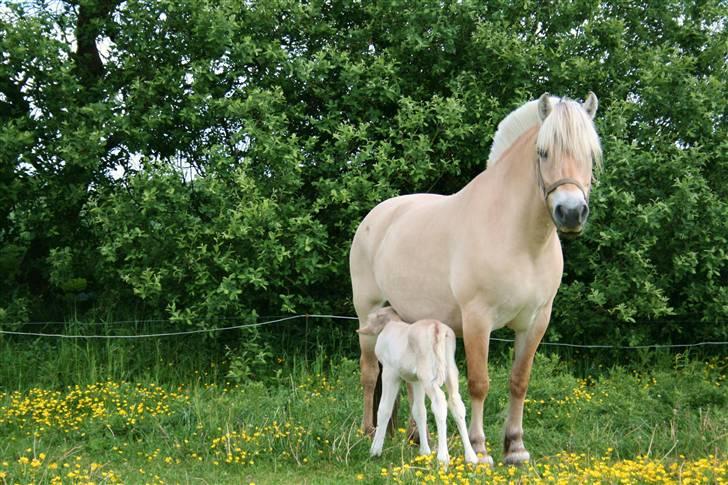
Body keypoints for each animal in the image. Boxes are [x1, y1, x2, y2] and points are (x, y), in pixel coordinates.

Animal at [356, 306, 474, 466]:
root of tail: (438, 328)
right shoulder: (415, 381)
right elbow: (419, 411)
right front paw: (424, 451)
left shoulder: (390, 372)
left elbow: (384, 409)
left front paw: (375, 450)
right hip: (450, 371)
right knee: (456, 403)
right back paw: (471, 457)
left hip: (428, 375)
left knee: (440, 402)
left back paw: (443, 458)